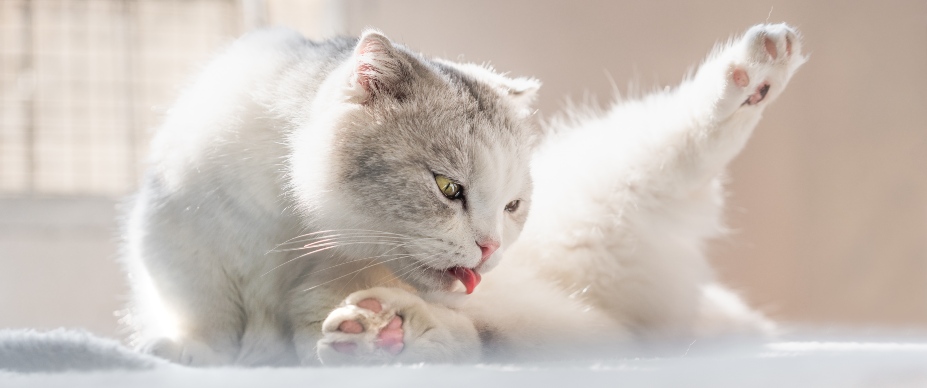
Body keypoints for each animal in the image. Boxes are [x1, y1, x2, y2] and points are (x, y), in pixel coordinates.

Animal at [121, 22, 804, 366]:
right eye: (448, 188)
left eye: (512, 205)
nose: (490, 248)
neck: (298, 228)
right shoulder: (176, 239)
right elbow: (204, 310)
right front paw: (191, 350)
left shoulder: (322, 286)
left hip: (633, 182)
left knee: (691, 139)